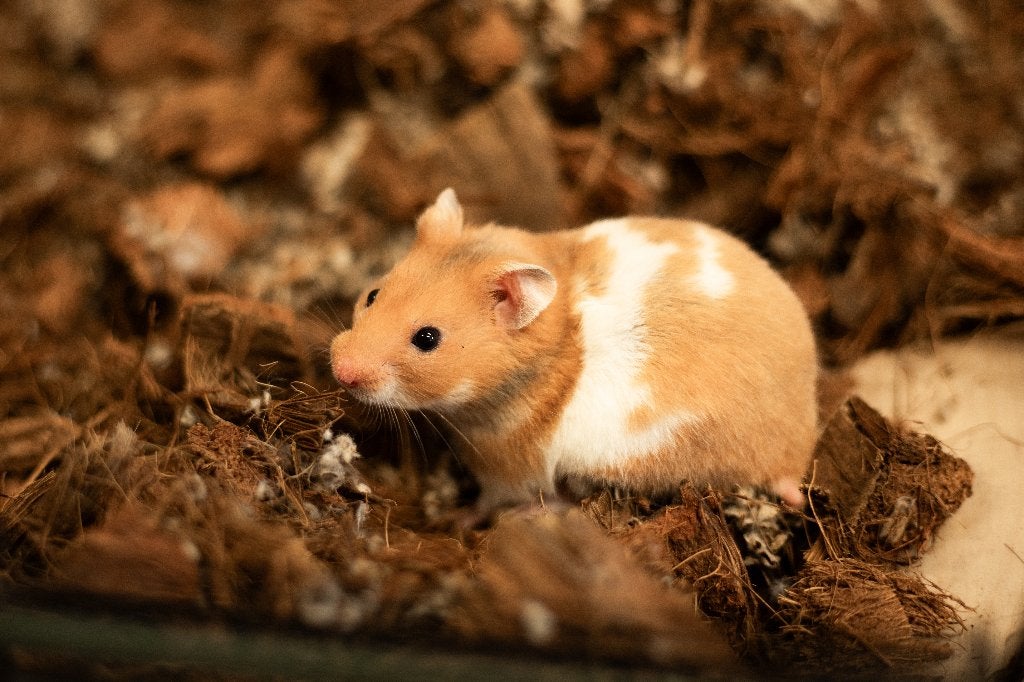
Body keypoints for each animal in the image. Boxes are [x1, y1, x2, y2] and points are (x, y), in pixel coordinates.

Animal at [330, 189, 818, 512]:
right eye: (373, 295)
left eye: (428, 339)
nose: (339, 369)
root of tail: (798, 450)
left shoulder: (508, 470)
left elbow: (491, 501)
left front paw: (458, 518)